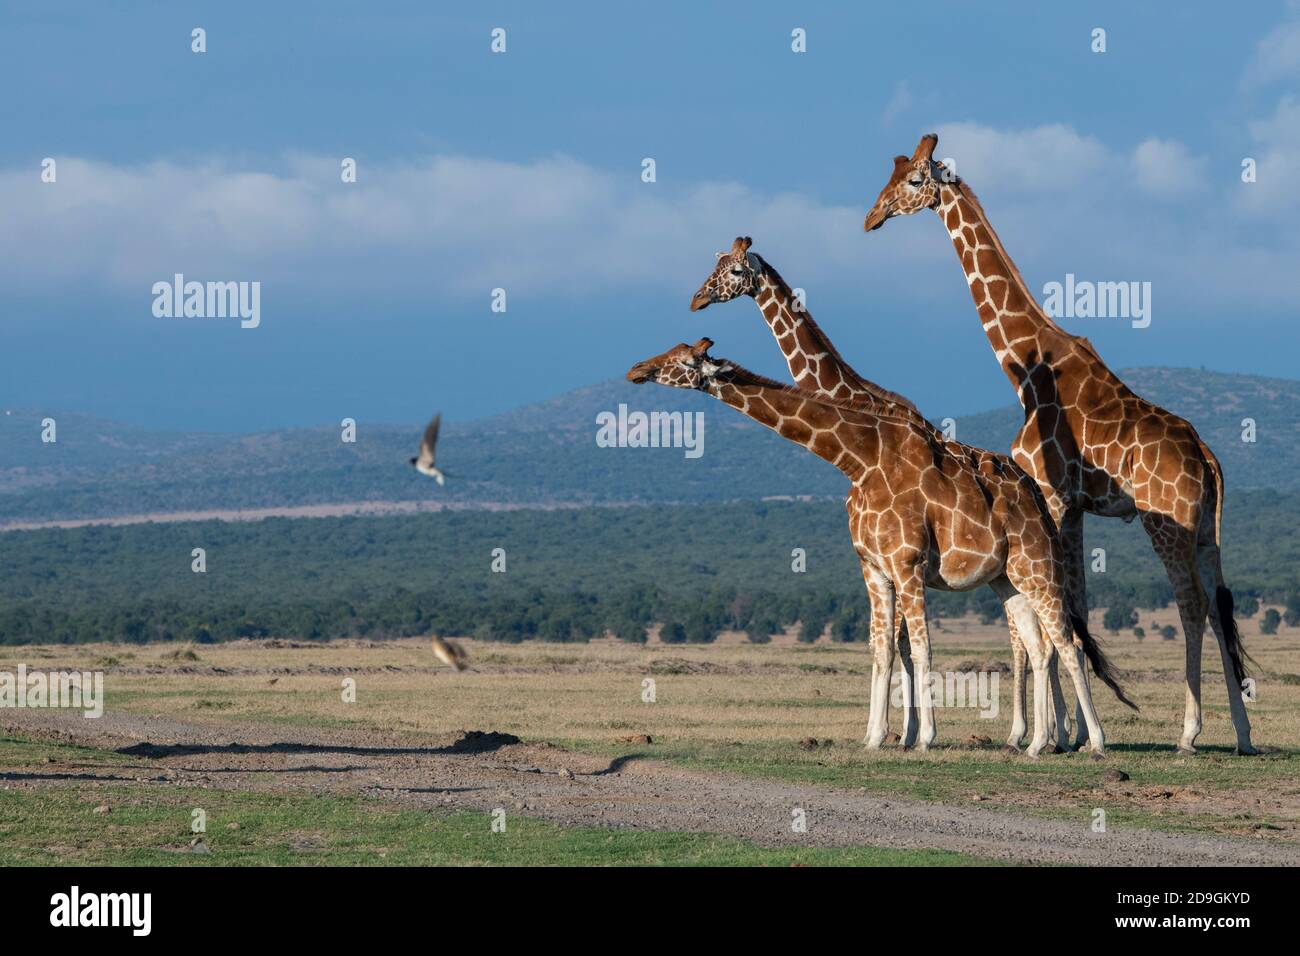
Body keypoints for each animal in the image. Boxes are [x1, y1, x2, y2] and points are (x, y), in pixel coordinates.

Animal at [624, 335, 1133, 754]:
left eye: (681, 360)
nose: (635, 370)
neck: (859, 459)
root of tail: (1036, 497)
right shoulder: (873, 568)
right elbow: (882, 648)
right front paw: (873, 738)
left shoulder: (907, 564)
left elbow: (922, 648)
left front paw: (925, 738)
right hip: (1006, 578)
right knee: (1038, 645)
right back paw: (1035, 744)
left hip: (1036, 562)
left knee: (1067, 642)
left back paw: (1095, 742)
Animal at [863, 132, 1258, 754]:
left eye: (912, 180)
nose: (872, 217)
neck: (1025, 368)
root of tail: (1209, 461)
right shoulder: (1071, 507)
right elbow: (1076, 607)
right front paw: (1069, 732)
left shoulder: (1049, 494)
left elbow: (1049, 619)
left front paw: (1049, 735)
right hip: (1207, 530)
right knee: (1220, 606)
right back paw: (1242, 735)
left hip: (1167, 523)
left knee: (1192, 606)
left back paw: (1189, 733)